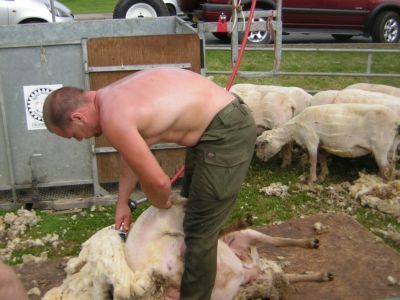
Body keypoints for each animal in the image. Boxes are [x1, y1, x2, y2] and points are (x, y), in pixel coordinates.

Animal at [43, 193, 334, 298]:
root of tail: (250, 267)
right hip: (259, 275)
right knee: (285, 274)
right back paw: (323, 273)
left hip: (249, 238)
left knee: (273, 239)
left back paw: (310, 243)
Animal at [256, 103, 400, 183]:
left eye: (263, 144)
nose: (258, 158)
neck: (294, 129)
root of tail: (396, 121)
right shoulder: (321, 144)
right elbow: (322, 159)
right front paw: (322, 176)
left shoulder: (311, 140)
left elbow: (313, 160)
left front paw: (311, 180)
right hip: (391, 146)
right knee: (391, 165)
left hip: (380, 146)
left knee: (385, 168)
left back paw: (380, 184)